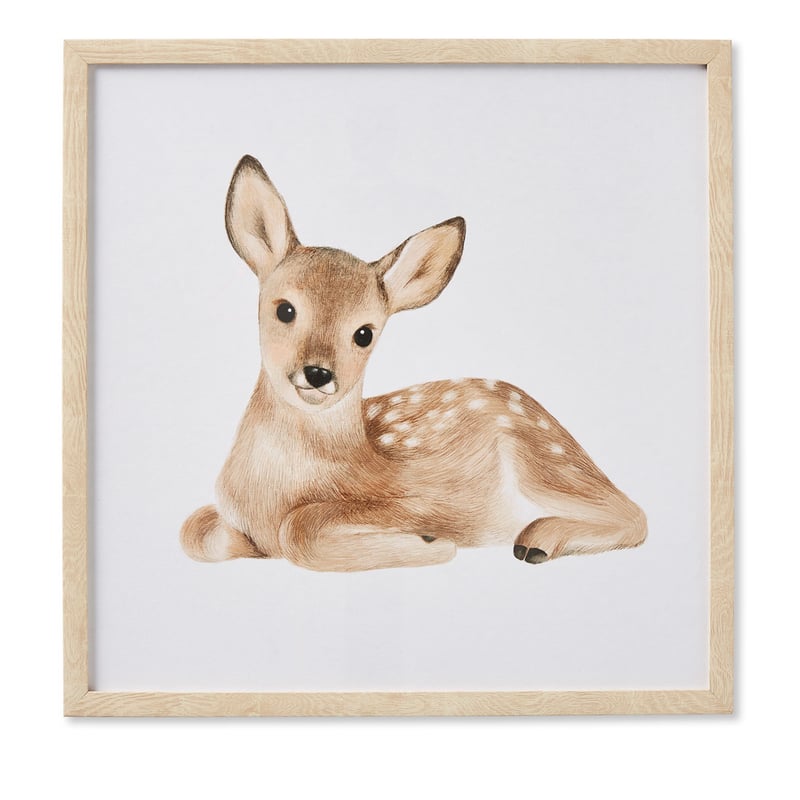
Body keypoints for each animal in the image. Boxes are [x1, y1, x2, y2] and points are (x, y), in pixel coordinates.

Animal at [180, 155, 647, 572]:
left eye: (364, 333)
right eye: (285, 309)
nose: (318, 373)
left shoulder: (428, 499)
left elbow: (301, 526)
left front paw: (430, 544)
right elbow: (194, 529)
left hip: (544, 460)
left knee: (634, 513)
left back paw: (537, 540)